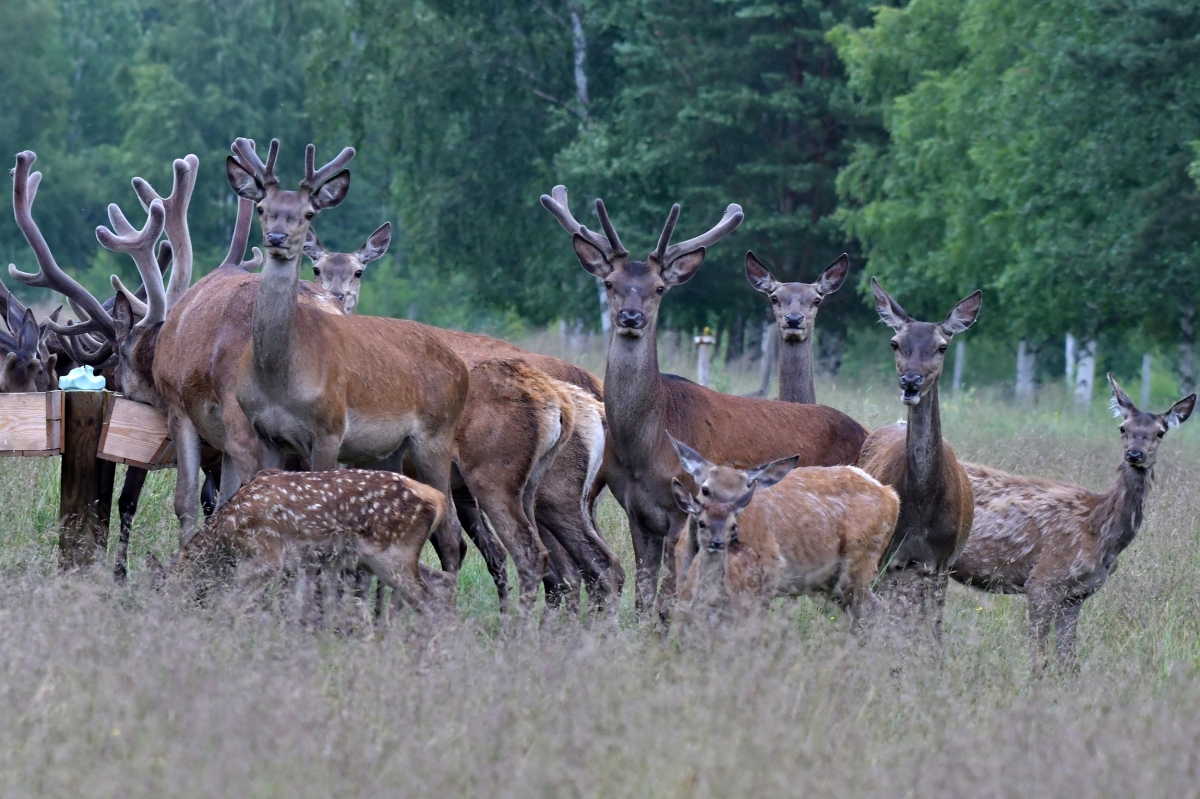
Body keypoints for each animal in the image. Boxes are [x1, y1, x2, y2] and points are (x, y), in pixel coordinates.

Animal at [166, 463, 451, 611]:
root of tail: (437, 499)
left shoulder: (267, 555)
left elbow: (230, 602)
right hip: (387, 556)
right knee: (440, 583)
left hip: (392, 554)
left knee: (427, 598)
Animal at [672, 431, 897, 623]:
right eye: (705, 490)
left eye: (745, 495)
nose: (730, 535)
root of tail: (892, 496)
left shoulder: (770, 570)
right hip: (835, 581)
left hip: (861, 563)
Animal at [859, 277, 979, 633]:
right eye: (895, 343)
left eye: (942, 346)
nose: (910, 381)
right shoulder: (888, 556)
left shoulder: (940, 562)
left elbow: (932, 626)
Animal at [950, 374, 1195, 667]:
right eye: (1122, 428)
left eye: (1160, 432)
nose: (1135, 454)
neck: (1100, 531)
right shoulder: (1042, 581)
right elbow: (1038, 656)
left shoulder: (1076, 595)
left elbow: (1069, 661)